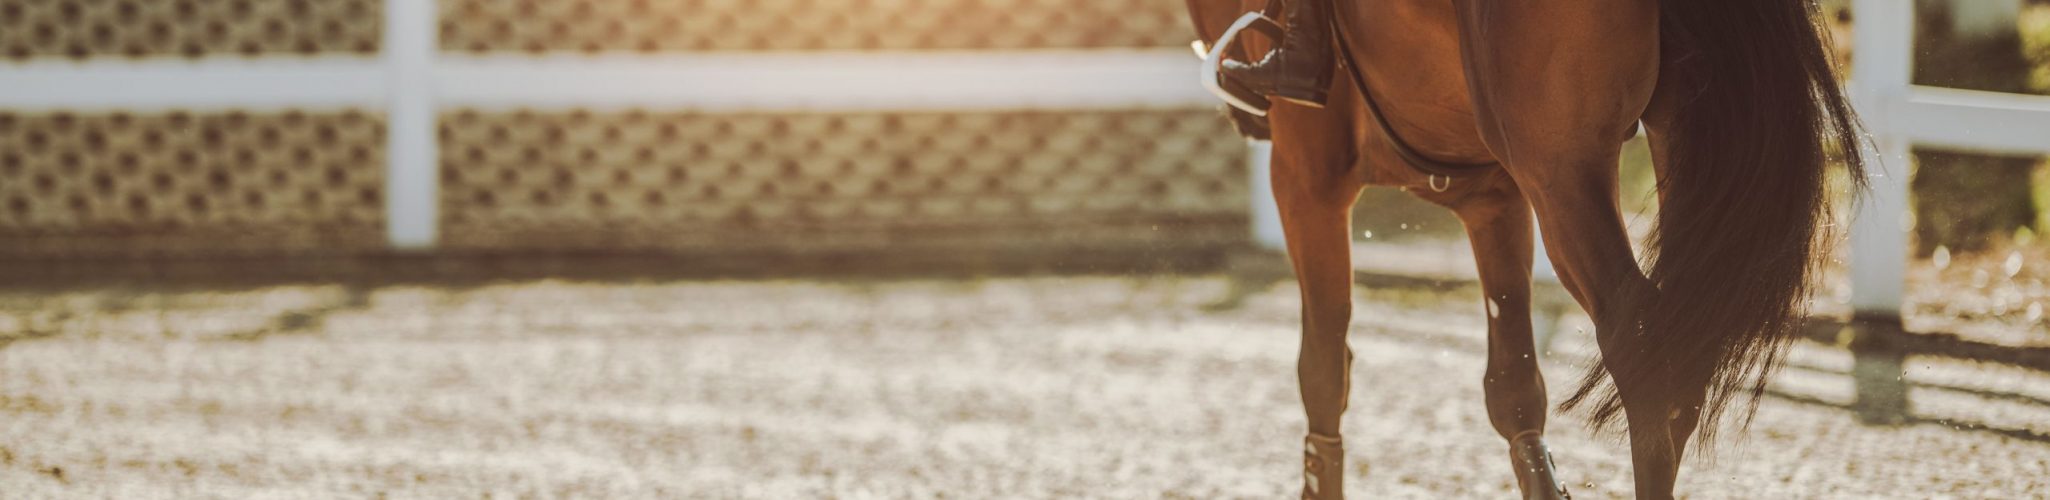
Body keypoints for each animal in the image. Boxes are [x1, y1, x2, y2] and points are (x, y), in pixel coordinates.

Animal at [1184, 0, 1863, 498]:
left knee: (1640, 341)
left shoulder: (1307, 180)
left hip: (1563, 174)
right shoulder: (1495, 198)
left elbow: (1323, 369)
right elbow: (1513, 387)